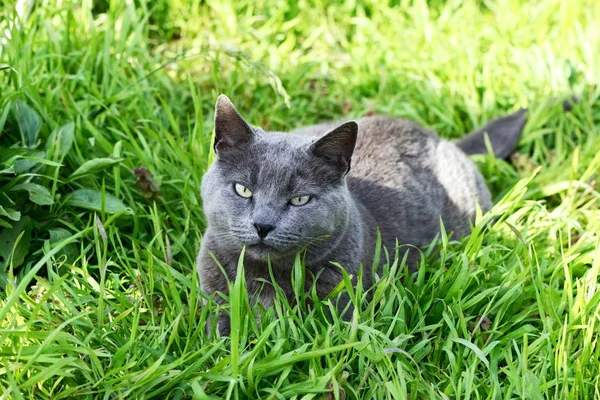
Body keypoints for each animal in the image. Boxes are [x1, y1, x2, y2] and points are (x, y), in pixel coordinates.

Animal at [198, 94, 540, 334]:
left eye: (300, 199)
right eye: (243, 190)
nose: (263, 225)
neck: (267, 277)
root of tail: (443, 140)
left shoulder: (341, 301)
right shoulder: (214, 296)